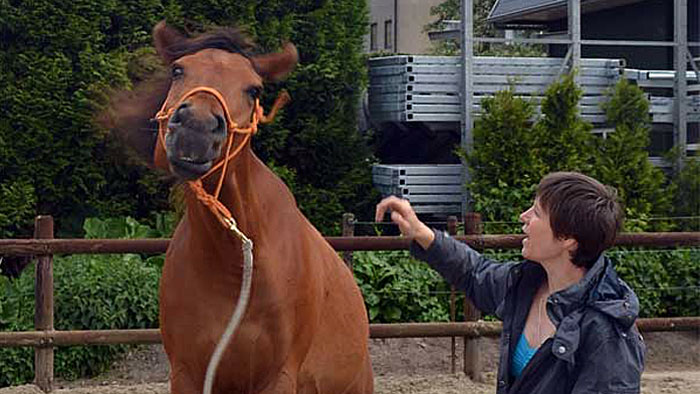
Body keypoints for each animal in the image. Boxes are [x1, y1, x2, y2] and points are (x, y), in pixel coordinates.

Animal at [101, 22, 372, 394]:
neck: (236, 267)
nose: (197, 127)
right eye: (178, 70)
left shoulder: (278, 376)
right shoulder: (187, 373)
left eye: (254, 90)